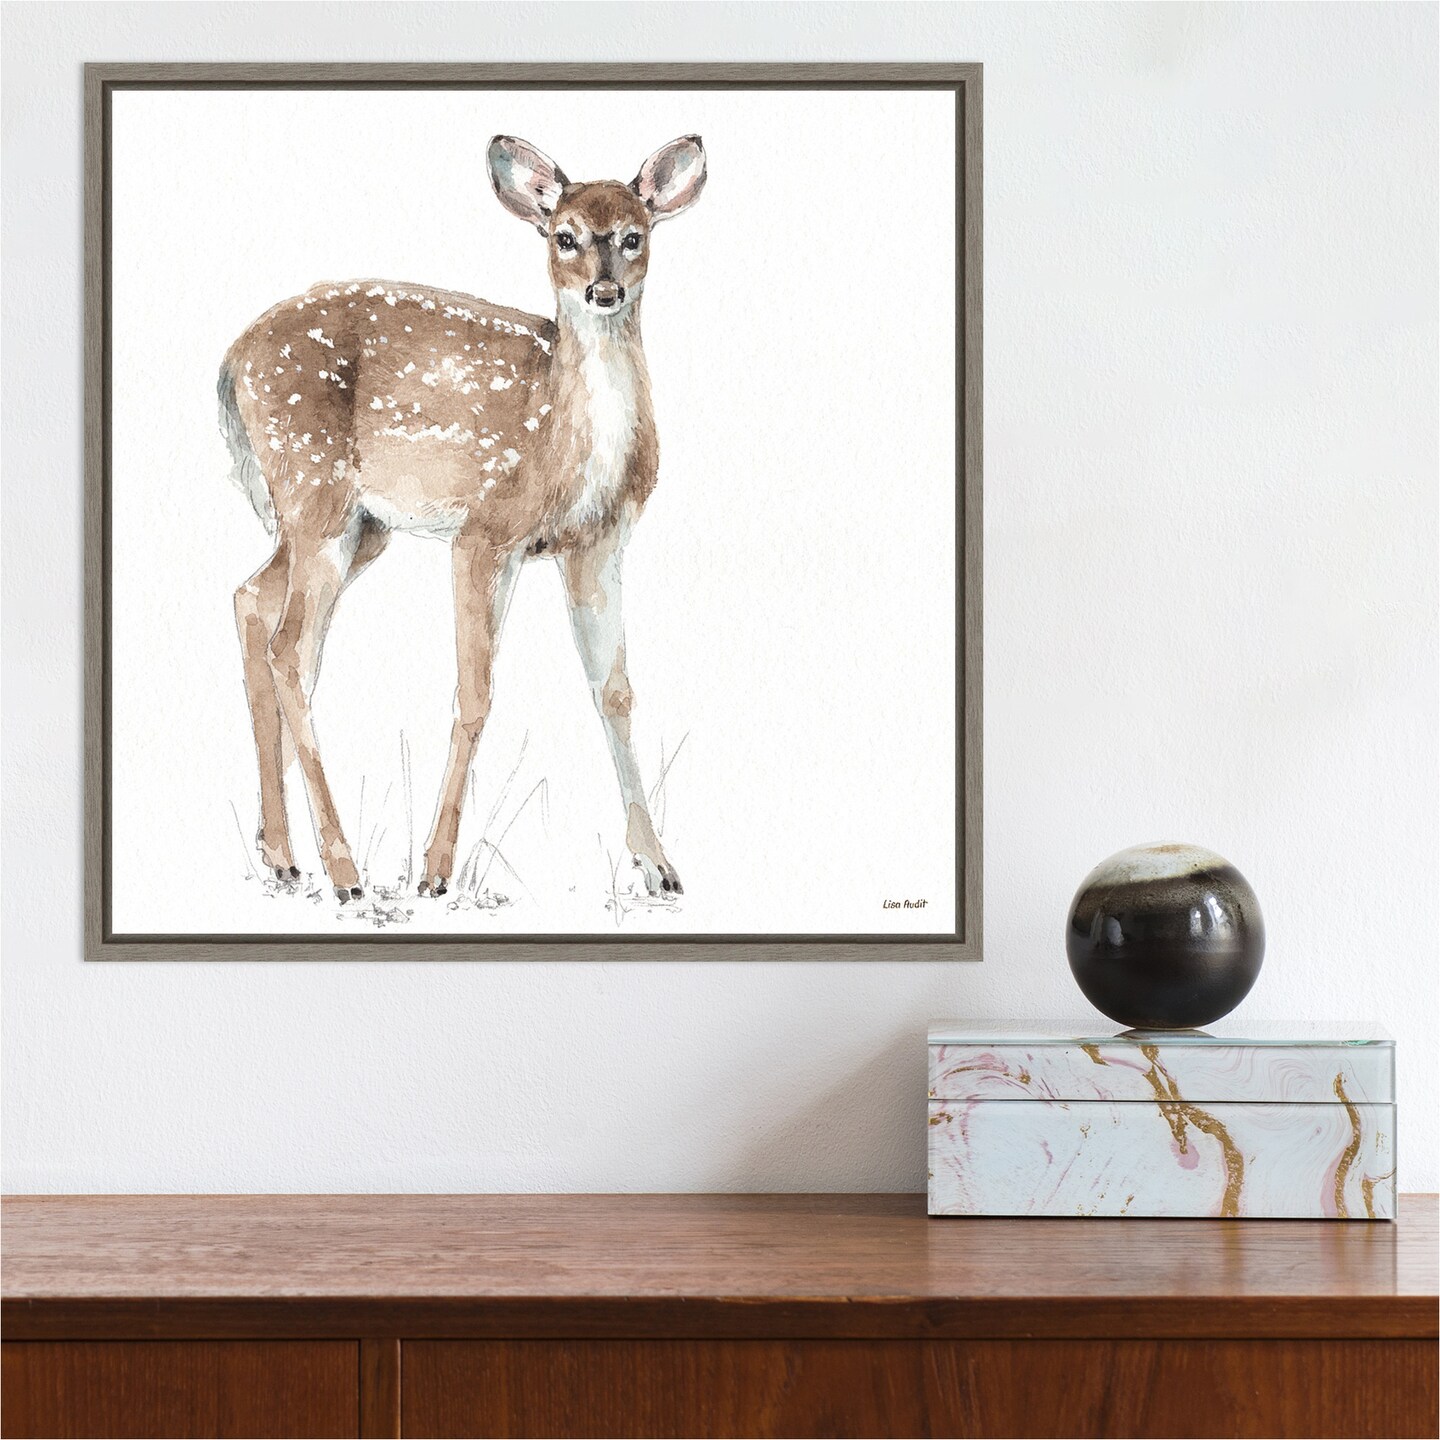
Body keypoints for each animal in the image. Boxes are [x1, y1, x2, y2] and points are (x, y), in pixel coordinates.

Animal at [217, 135, 705, 905]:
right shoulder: (485, 531)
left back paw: (283, 857)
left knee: (253, 604)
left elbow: (615, 691)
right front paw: (435, 872)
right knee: (290, 647)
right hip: (313, 492)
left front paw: (659, 867)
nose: (604, 292)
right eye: (564, 236)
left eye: (635, 235)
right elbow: (475, 694)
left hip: (355, 528)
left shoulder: (597, 543)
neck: (568, 441)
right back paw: (345, 872)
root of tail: (231, 365)